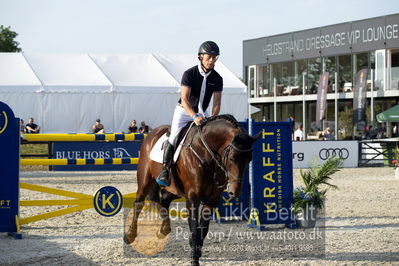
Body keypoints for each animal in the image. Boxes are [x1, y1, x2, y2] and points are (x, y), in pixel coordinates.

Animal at [126, 115, 262, 266]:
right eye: (232, 158)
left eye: (250, 159)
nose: (235, 191)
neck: (206, 152)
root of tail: (152, 133)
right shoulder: (193, 198)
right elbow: (194, 232)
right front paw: (194, 259)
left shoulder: (212, 199)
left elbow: (203, 230)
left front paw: (197, 253)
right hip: (145, 179)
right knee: (139, 203)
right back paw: (130, 236)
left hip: (174, 189)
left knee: (164, 200)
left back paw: (164, 229)